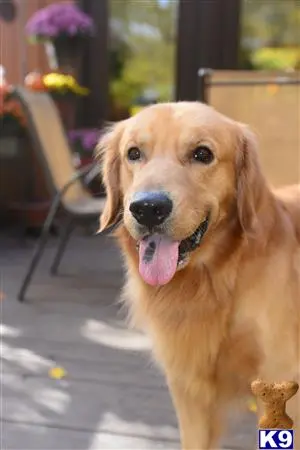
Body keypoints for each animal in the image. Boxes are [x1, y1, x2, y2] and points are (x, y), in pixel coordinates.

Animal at [97, 103, 298, 450]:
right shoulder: (189, 392)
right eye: (134, 153)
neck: (214, 281)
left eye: (202, 154)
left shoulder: (282, 379)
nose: (148, 208)